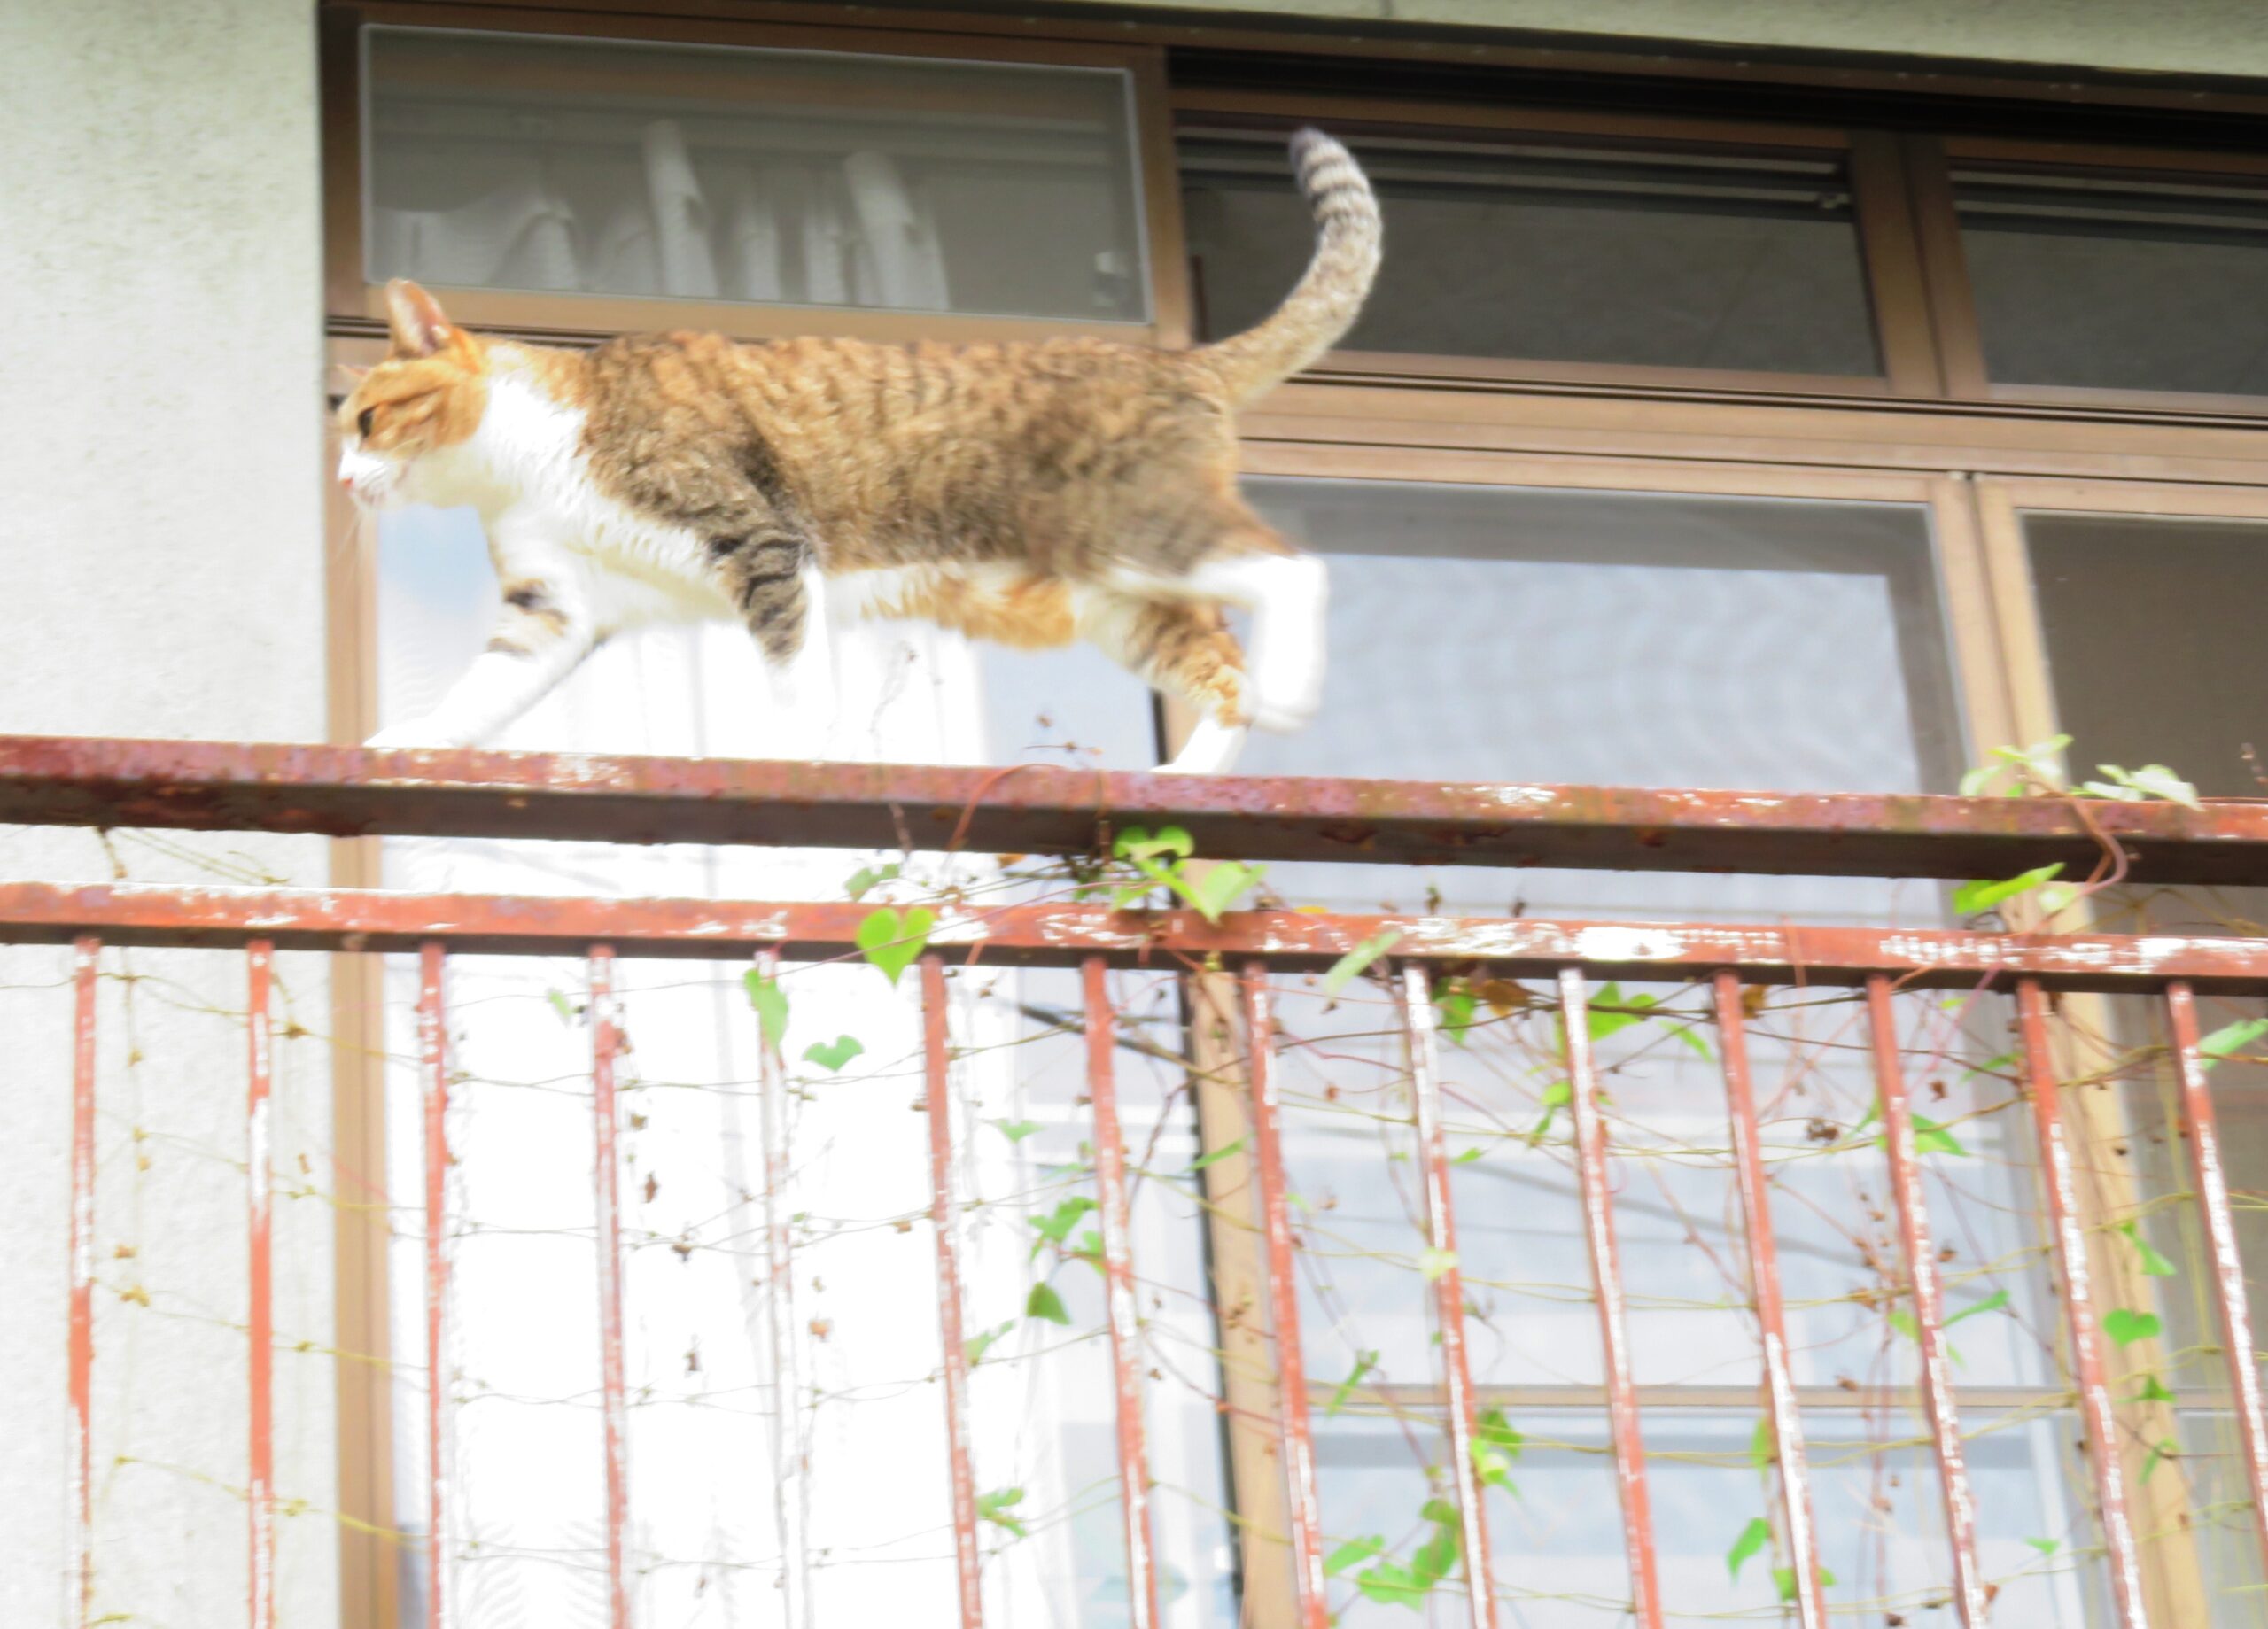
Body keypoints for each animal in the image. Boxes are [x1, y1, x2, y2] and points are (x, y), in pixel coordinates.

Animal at [329, 128, 1370, 780]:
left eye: (368, 422)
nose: (339, 478)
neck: (526, 463)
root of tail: (1182, 360)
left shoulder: (759, 541)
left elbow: (794, 677)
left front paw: (798, 754)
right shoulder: (553, 608)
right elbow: (482, 692)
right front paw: (412, 741)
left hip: (1138, 531)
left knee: (1294, 574)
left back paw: (1289, 688)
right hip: (1121, 596)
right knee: (1220, 675)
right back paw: (1187, 773)